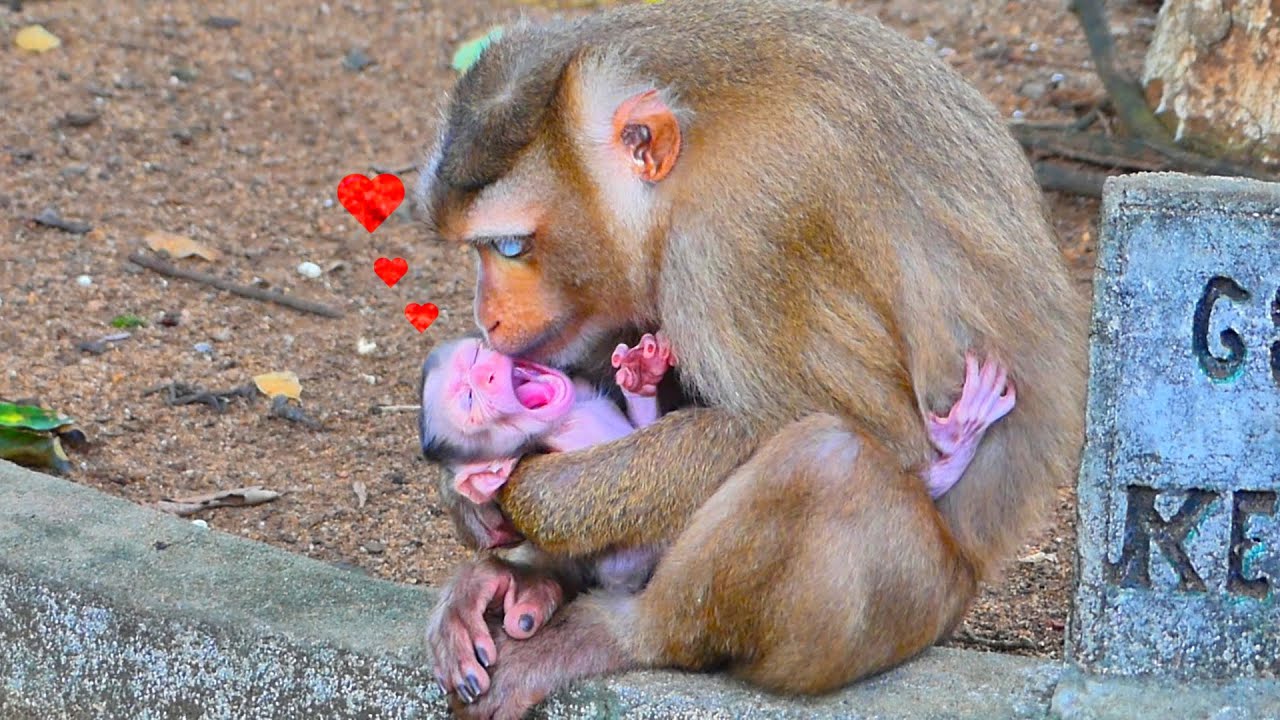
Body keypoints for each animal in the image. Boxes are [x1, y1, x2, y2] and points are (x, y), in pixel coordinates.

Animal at [413, 0, 1087, 716]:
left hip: (906, 604)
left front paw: (527, 493)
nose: (486, 317)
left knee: (826, 457)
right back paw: (521, 585)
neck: (693, 153)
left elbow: (880, 435)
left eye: (510, 247)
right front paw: (472, 499)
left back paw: (622, 633)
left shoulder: (744, 230)